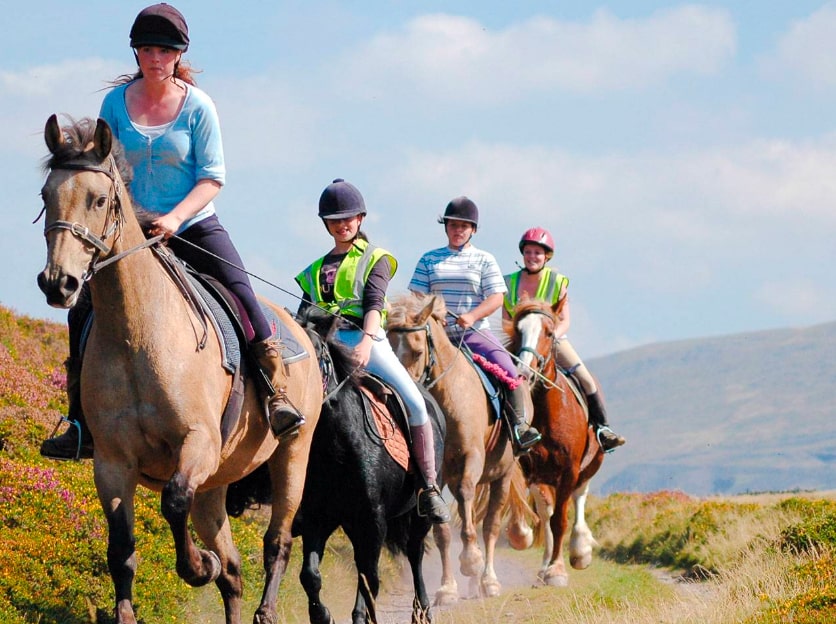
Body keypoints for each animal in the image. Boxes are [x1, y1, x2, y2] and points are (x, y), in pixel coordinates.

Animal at [35, 113, 320, 624]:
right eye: (46, 196)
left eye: (99, 199)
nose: (58, 283)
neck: (137, 333)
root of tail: (301, 329)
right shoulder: (112, 463)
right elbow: (121, 549)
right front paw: (128, 612)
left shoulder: (197, 443)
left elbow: (173, 501)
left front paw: (196, 566)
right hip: (218, 482)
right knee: (233, 568)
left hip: (292, 454)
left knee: (278, 541)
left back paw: (264, 607)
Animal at [294, 308, 444, 624]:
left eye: (316, 354)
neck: (338, 444)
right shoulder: (318, 517)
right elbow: (310, 575)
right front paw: (322, 615)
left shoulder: (372, 520)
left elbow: (369, 577)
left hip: (418, 516)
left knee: (414, 554)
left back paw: (422, 610)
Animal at [386, 294, 528, 604]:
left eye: (417, 352)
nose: (401, 393)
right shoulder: (435, 473)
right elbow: (442, 532)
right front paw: (447, 587)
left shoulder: (470, 458)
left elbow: (468, 503)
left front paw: (471, 561)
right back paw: (474, 584)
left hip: (502, 475)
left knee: (490, 526)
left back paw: (488, 580)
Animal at [500, 300, 604, 588]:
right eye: (518, 330)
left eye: (549, 332)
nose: (525, 371)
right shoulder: (528, 469)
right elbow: (538, 518)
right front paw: (523, 538)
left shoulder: (570, 470)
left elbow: (560, 520)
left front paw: (558, 570)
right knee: (546, 514)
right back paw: (544, 566)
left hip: (588, 466)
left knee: (579, 497)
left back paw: (580, 551)